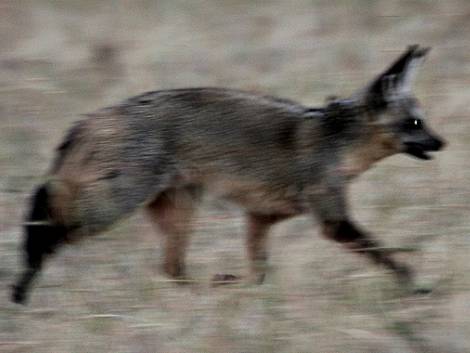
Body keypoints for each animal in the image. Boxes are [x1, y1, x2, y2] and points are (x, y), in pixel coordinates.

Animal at [11, 44, 444, 302]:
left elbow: (259, 272)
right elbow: (384, 253)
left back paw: (204, 292)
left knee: (172, 269)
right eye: (416, 124)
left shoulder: (259, 217)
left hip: (177, 211)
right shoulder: (332, 221)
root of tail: (94, 116)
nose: (444, 142)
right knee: (46, 203)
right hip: (112, 207)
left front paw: (237, 286)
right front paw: (415, 284)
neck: (335, 139)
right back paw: (22, 284)